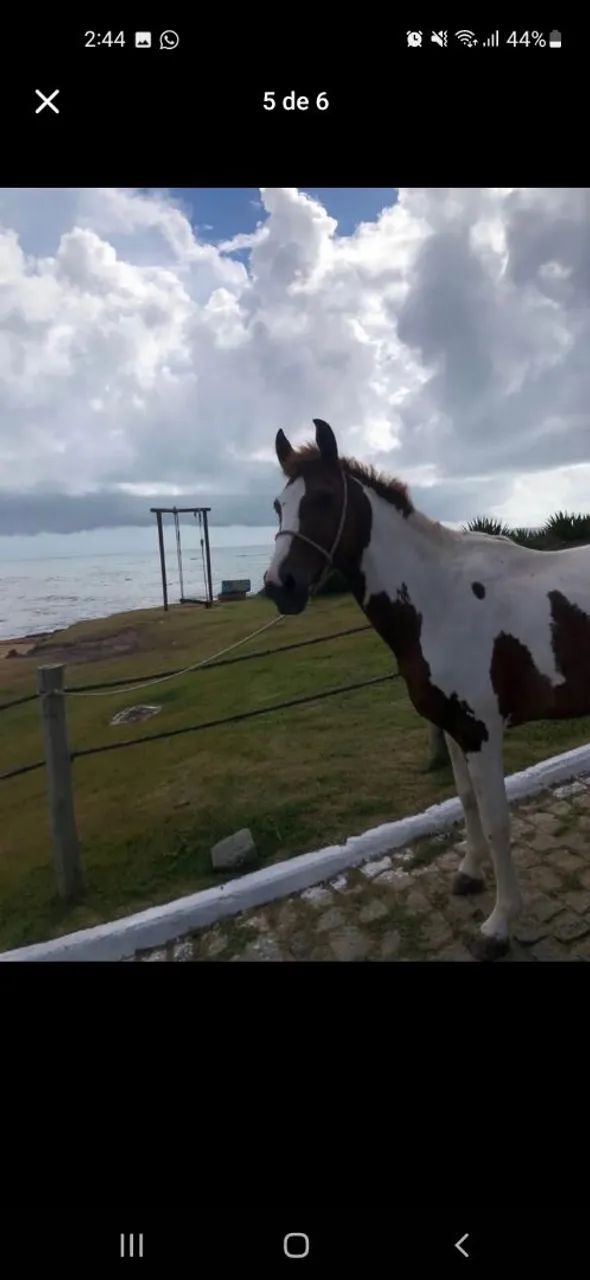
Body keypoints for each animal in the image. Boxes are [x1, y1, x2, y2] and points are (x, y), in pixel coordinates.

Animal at [264, 418, 590, 959]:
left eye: (326, 497)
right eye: (277, 505)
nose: (279, 586)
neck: (438, 599)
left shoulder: (481, 733)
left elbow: (499, 821)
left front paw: (499, 923)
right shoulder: (453, 728)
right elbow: (467, 800)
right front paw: (469, 874)